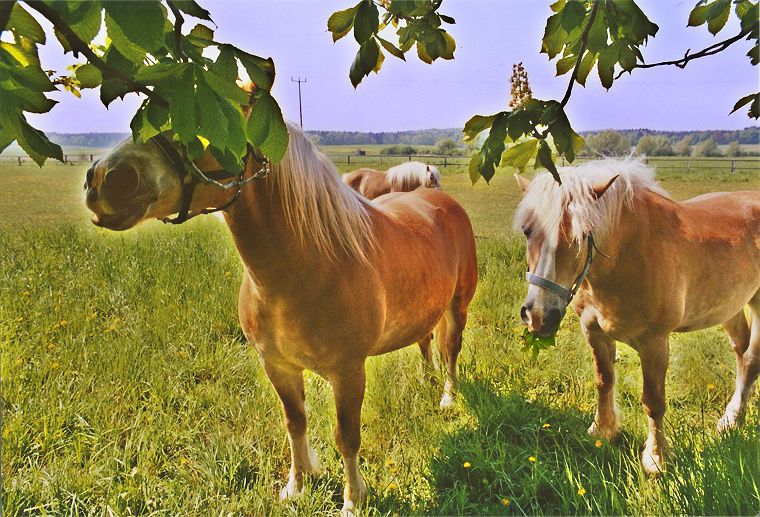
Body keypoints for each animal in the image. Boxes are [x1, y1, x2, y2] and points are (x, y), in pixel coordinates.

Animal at [83, 123, 477, 514]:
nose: (102, 178)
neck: (309, 262)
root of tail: (436, 197)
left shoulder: (348, 371)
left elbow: (347, 437)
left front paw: (352, 500)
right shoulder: (278, 366)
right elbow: (295, 424)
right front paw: (297, 487)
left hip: (457, 308)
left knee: (450, 351)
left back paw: (447, 397)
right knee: (425, 341)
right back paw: (426, 382)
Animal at [514, 159, 760, 475]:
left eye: (582, 235)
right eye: (527, 230)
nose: (538, 316)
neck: (628, 254)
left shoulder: (655, 343)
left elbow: (653, 401)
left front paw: (656, 458)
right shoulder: (593, 331)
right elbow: (604, 381)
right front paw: (603, 431)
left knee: (751, 359)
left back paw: (732, 420)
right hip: (730, 305)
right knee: (741, 352)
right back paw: (732, 418)